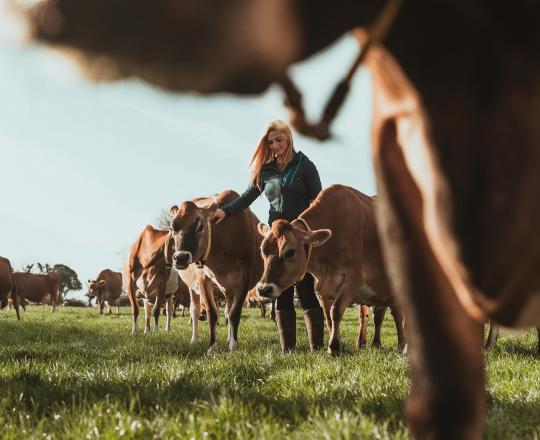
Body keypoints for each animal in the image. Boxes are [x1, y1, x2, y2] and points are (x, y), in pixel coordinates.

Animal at [169, 190, 262, 354]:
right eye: (172, 228)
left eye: (200, 226)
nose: (180, 257)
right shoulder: (202, 278)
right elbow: (212, 313)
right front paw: (212, 347)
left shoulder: (245, 278)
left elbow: (234, 313)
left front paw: (233, 346)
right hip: (192, 286)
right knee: (194, 310)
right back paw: (194, 340)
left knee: (228, 310)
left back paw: (229, 338)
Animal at [255, 184, 402, 356]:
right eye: (262, 250)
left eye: (290, 252)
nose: (263, 289)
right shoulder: (323, 288)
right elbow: (328, 317)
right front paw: (335, 344)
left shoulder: (353, 279)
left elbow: (336, 311)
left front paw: (334, 347)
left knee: (397, 315)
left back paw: (403, 346)